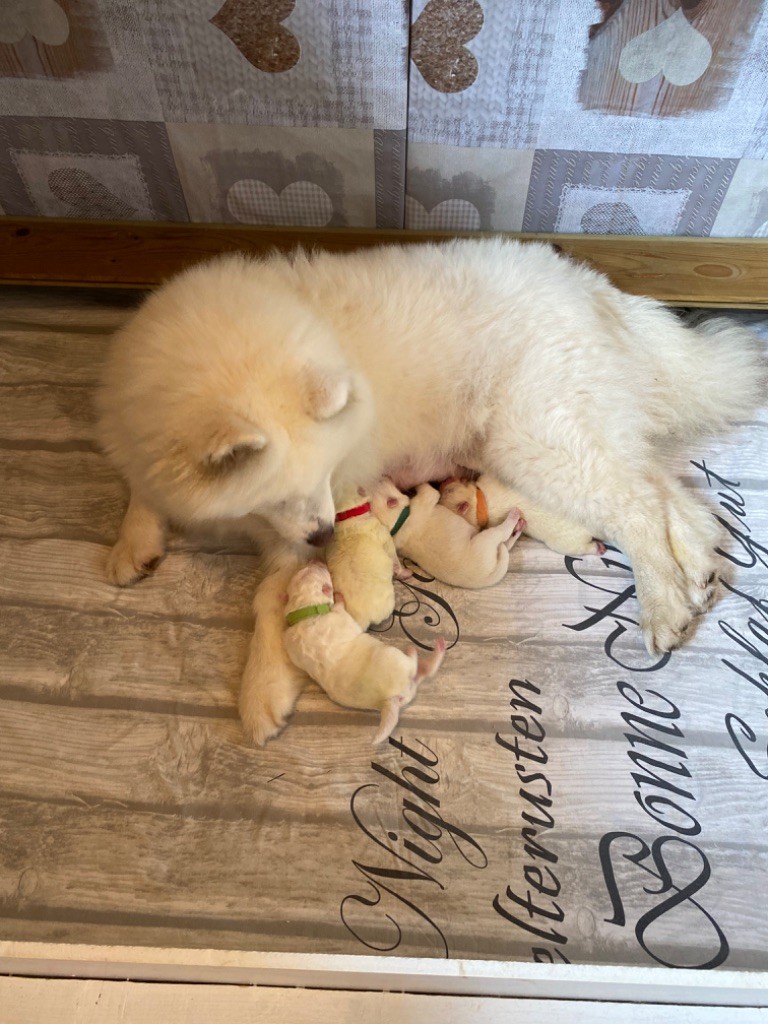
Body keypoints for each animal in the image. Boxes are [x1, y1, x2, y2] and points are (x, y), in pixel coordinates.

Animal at [282, 561, 444, 745]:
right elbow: (340, 608)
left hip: (408, 690)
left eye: (303, 571)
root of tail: (390, 700)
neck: (305, 611)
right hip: (395, 658)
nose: (316, 561)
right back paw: (422, 650)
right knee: (420, 667)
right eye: (318, 570)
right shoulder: (341, 616)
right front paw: (339, 596)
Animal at [370, 477, 528, 589]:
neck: (396, 522)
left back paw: (518, 527)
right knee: (502, 534)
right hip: (485, 539)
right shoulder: (428, 497)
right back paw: (514, 517)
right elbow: (428, 489)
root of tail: (492, 576)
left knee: (506, 544)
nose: (384, 475)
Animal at [438, 473, 606, 557]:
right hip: (566, 543)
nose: (443, 481)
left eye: (449, 490)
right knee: (580, 548)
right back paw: (598, 548)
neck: (480, 505)